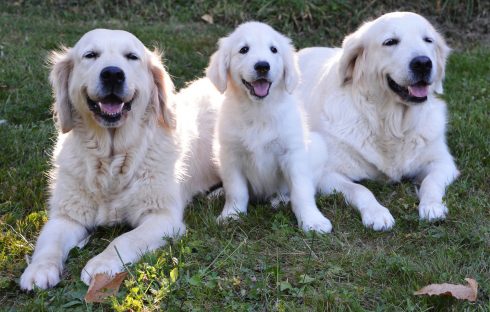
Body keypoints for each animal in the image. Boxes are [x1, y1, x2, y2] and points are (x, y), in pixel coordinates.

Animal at [19, 29, 220, 290]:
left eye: (132, 57)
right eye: (90, 55)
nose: (113, 74)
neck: (112, 158)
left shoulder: (162, 217)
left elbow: (125, 239)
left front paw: (101, 264)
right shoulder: (67, 215)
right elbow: (48, 243)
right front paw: (38, 269)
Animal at [207, 22, 334, 233]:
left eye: (274, 50)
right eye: (244, 50)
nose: (262, 66)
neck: (259, 110)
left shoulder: (292, 153)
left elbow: (301, 190)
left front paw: (312, 220)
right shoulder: (230, 154)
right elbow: (236, 190)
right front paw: (231, 215)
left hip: (318, 146)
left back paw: (280, 200)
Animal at [298, 12, 460, 230]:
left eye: (428, 40)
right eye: (390, 42)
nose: (423, 63)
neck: (390, 124)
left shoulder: (443, 162)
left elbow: (430, 182)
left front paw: (432, 206)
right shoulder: (326, 174)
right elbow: (360, 189)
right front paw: (377, 214)